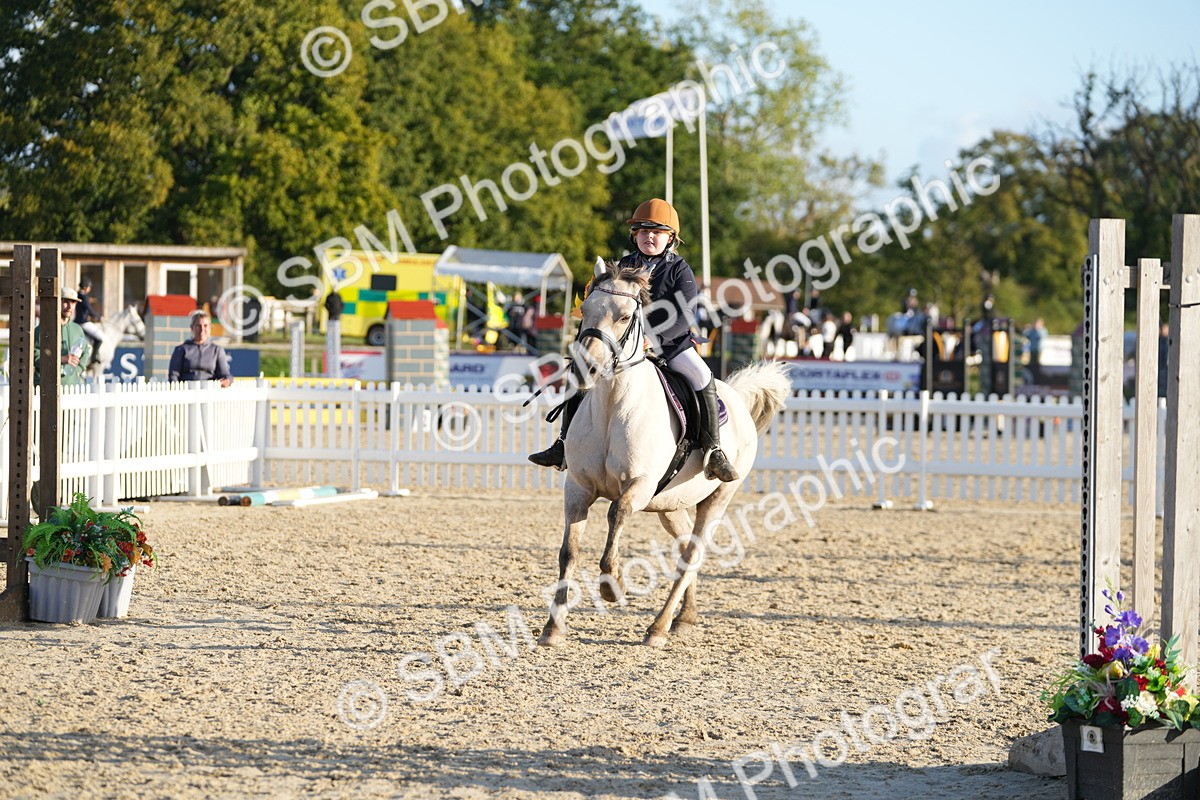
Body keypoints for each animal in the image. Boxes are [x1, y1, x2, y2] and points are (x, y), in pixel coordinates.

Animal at [540, 263, 792, 648]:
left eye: (625, 316)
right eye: (585, 311)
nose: (586, 370)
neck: (613, 406)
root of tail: (736, 397)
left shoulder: (639, 486)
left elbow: (616, 513)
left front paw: (613, 587)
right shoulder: (578, 488)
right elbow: (569, 552)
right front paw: (553, 629)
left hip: (719, 497)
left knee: (692, 554)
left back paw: (658, 628)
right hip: (671, 505)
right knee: (685, 543)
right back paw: (685, 617)